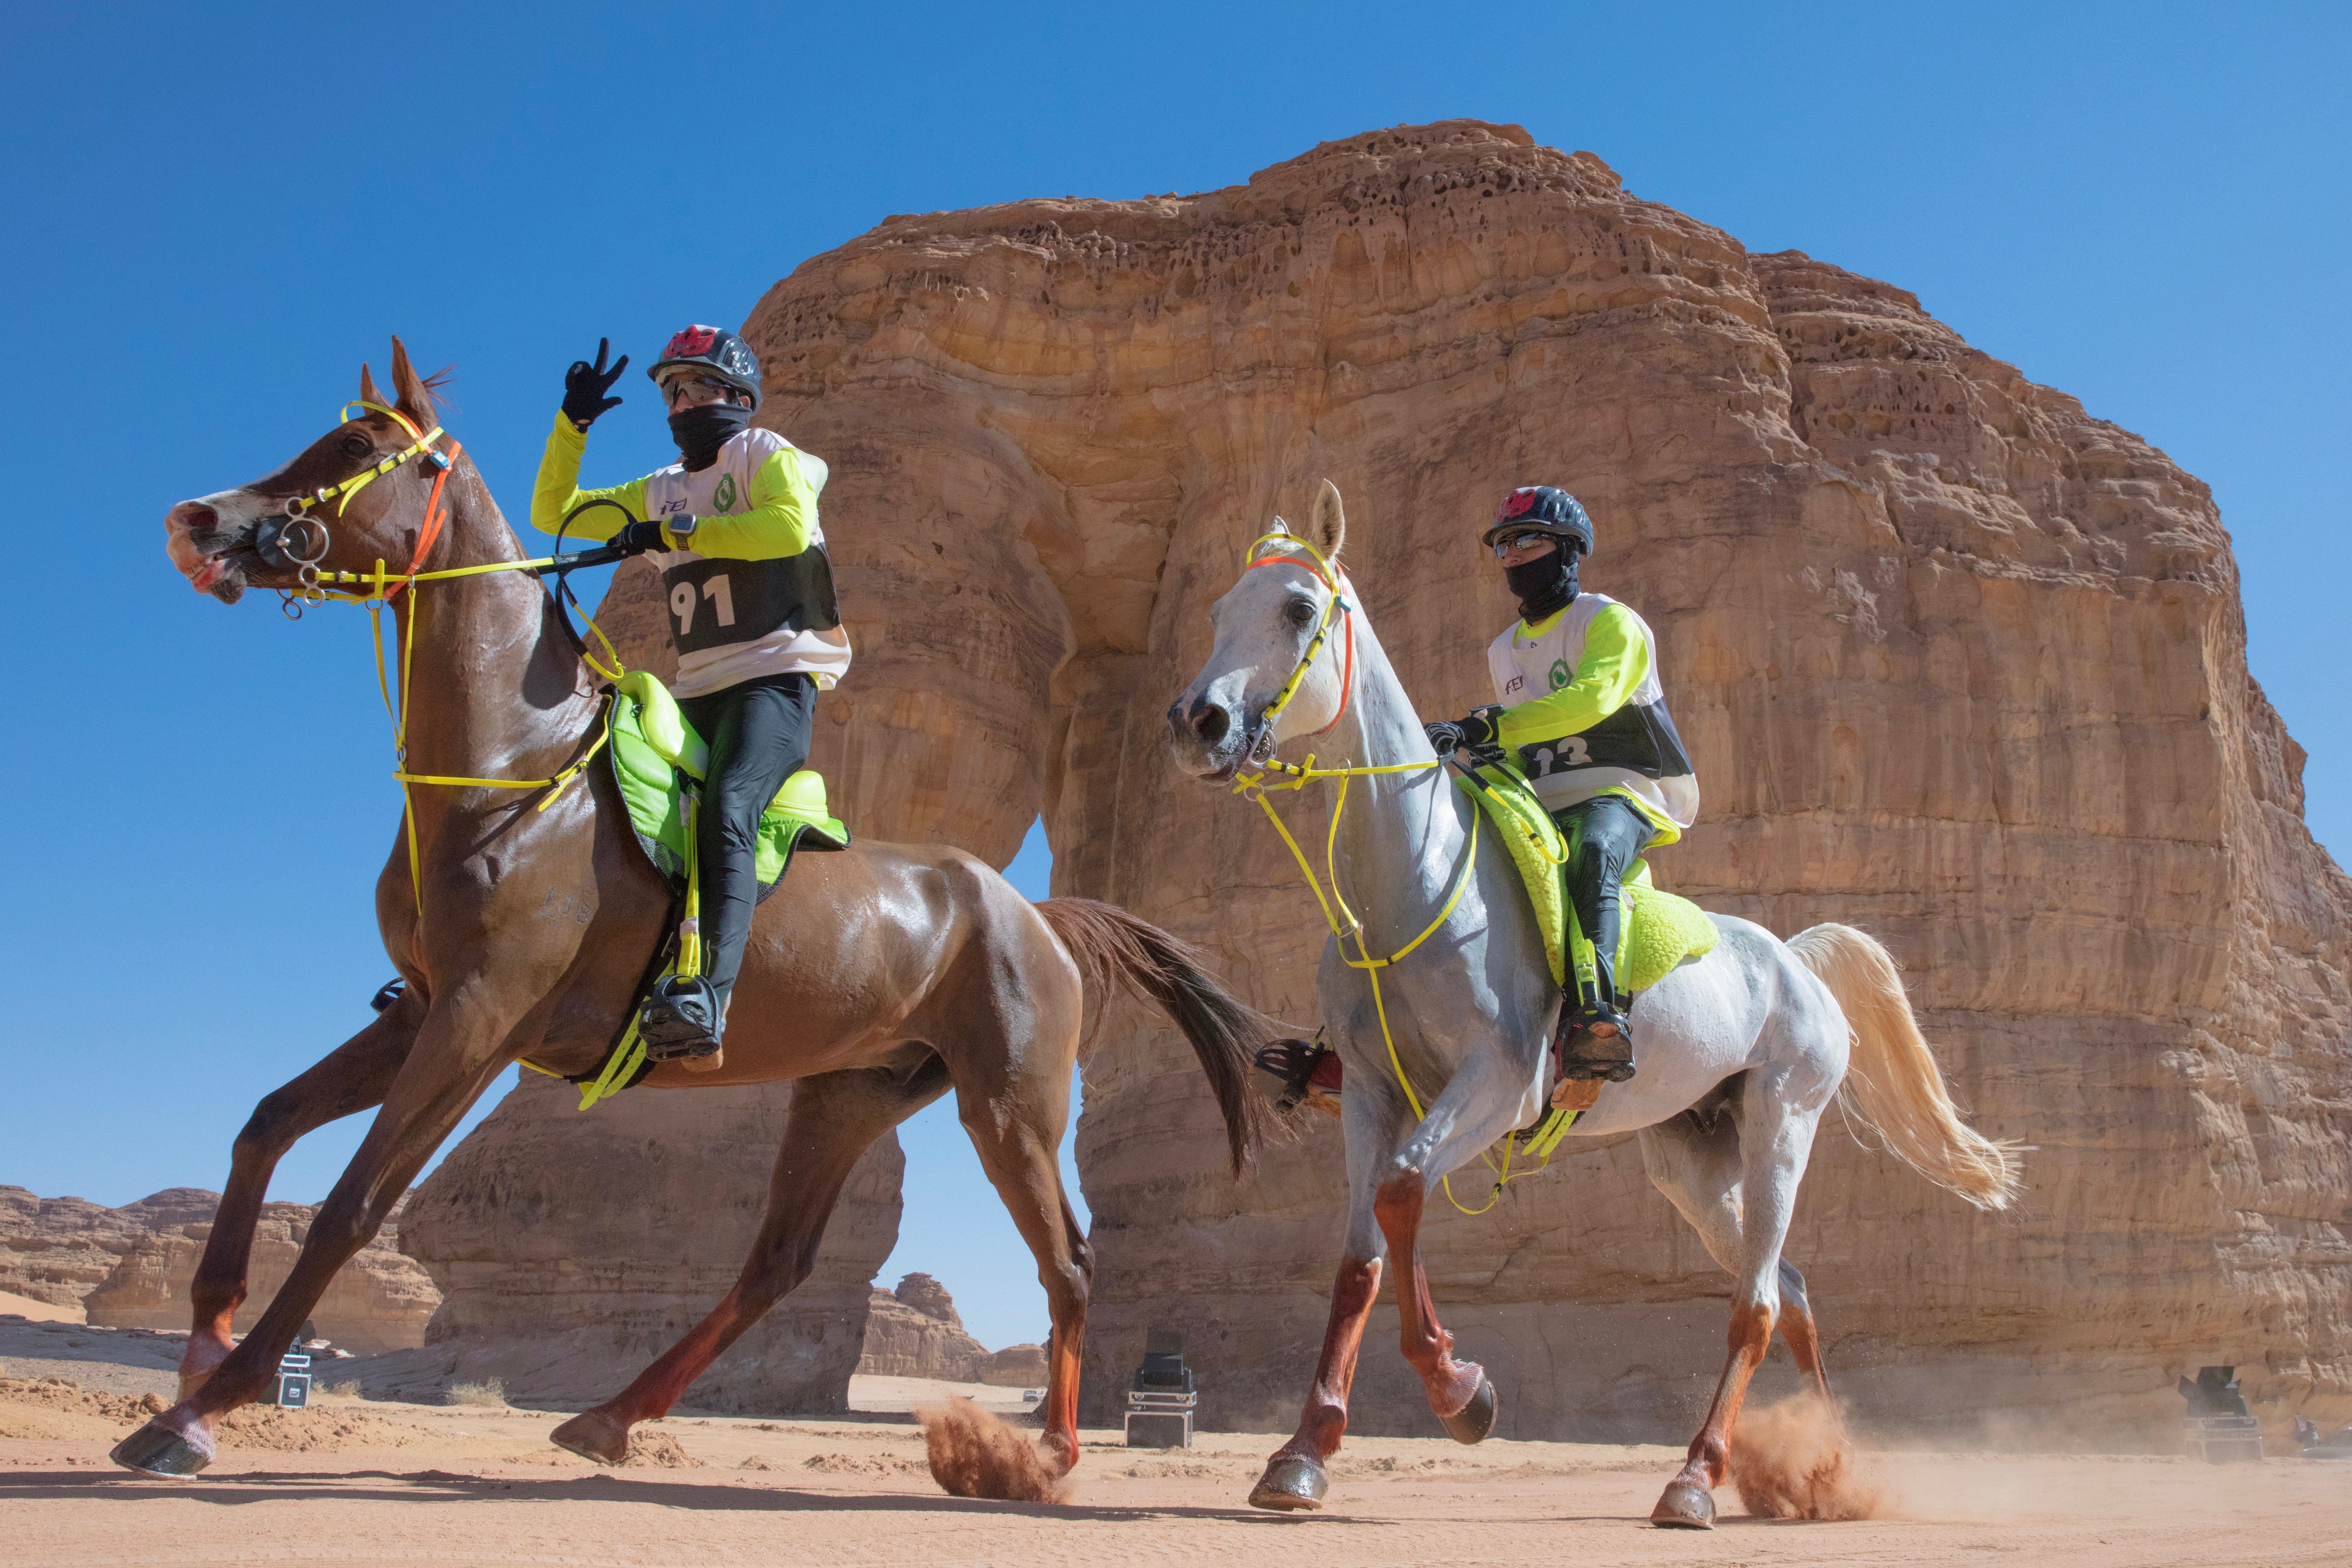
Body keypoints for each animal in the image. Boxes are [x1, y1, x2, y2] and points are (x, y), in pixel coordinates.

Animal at [126, 340, 1270, 1486]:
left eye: (360, 448)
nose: (197, 521)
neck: (514, 771)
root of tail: (1036, 915)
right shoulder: (418, 1008)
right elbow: (264, 1125)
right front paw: (202, 1348)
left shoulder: (480, 1020)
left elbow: (351, 1205)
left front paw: (208, 1405)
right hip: (850, 1094)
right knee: (778, 1262)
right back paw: (610, 1416)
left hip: (1009, 1104)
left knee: (1068, 1261)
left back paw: (1050, 1454)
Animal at [1166, 484, 2013, 1523]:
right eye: (1218, 613)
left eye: (1296, 609)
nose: (1197, 721)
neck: (1414, 878)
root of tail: (1795, 959)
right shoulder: (1369, 1092)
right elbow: (1359, 1258)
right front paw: (1303, 1450)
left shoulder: (1498, 1084)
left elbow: (1404, 1191)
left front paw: (1461, 1391)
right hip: (1692, 1160)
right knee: (1792, 1287)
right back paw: (1829, 1460)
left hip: (1782, 1125)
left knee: (1756, 1303)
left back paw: (1696, 1478)